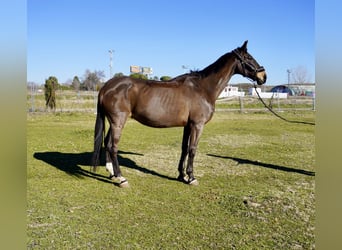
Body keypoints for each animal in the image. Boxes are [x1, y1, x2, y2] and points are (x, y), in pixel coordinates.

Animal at [91, 40, 268, 188]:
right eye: (249, 57)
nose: (263, 76)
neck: (203, 88)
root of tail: (107, 86)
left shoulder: (188, 126)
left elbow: (184, 148)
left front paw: (181, 175)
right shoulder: (197, 125)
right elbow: (193, 149)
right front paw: (192, 177)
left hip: (113, 122)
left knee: (107, 143)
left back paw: (112, 174)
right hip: (118, 121)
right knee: (113, 147)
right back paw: (121, 178)